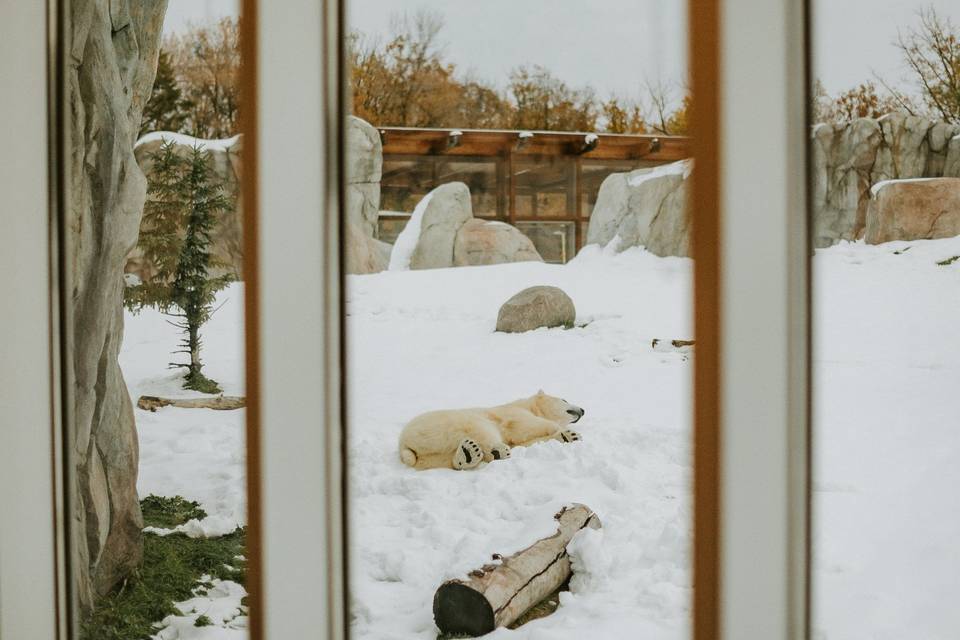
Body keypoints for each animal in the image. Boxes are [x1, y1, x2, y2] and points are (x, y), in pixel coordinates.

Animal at [398, 390, 584, 470]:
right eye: (564, 399)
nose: (582, 410)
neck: (530, 406)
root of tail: (403, 443)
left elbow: (526, 442)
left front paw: (567, 436)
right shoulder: (513, 412)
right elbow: (527, 425)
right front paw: (567, 432)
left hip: (430, 456)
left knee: (444, 459)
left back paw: (467, 455)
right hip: (451, 422)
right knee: (483, 431)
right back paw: (495, 450)